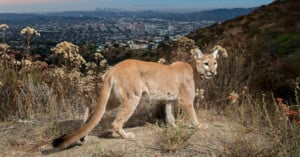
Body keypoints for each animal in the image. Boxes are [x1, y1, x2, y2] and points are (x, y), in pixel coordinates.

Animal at [52, 46, 219, 148]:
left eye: (215, 62)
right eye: (206, 63)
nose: (213, 72)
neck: (193, 68)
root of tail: (113, 68)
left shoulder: (169, 100)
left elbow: (170, 115)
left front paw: (174, 127)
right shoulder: (186, 101)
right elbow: (193, 116)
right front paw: (199, 126)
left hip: (113, 99)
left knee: (93, 107)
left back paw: (83, 135)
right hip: (132, 98)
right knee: (115, 122)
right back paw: (126, 136)